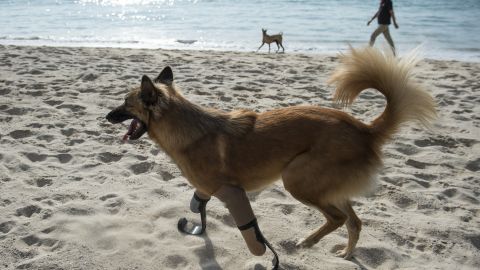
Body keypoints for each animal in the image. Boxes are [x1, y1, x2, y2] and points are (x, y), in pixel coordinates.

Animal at [107, 46, 436, 268]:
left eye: (125, 103)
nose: (106, 116)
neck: (188, 129)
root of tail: (365, 129)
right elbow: (198, 203)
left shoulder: (232, 191)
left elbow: (248, 232)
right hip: (327, 186)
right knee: (354, 222)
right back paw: (346, 253)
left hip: (296, 178)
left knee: (339, 218)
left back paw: (308, 241)